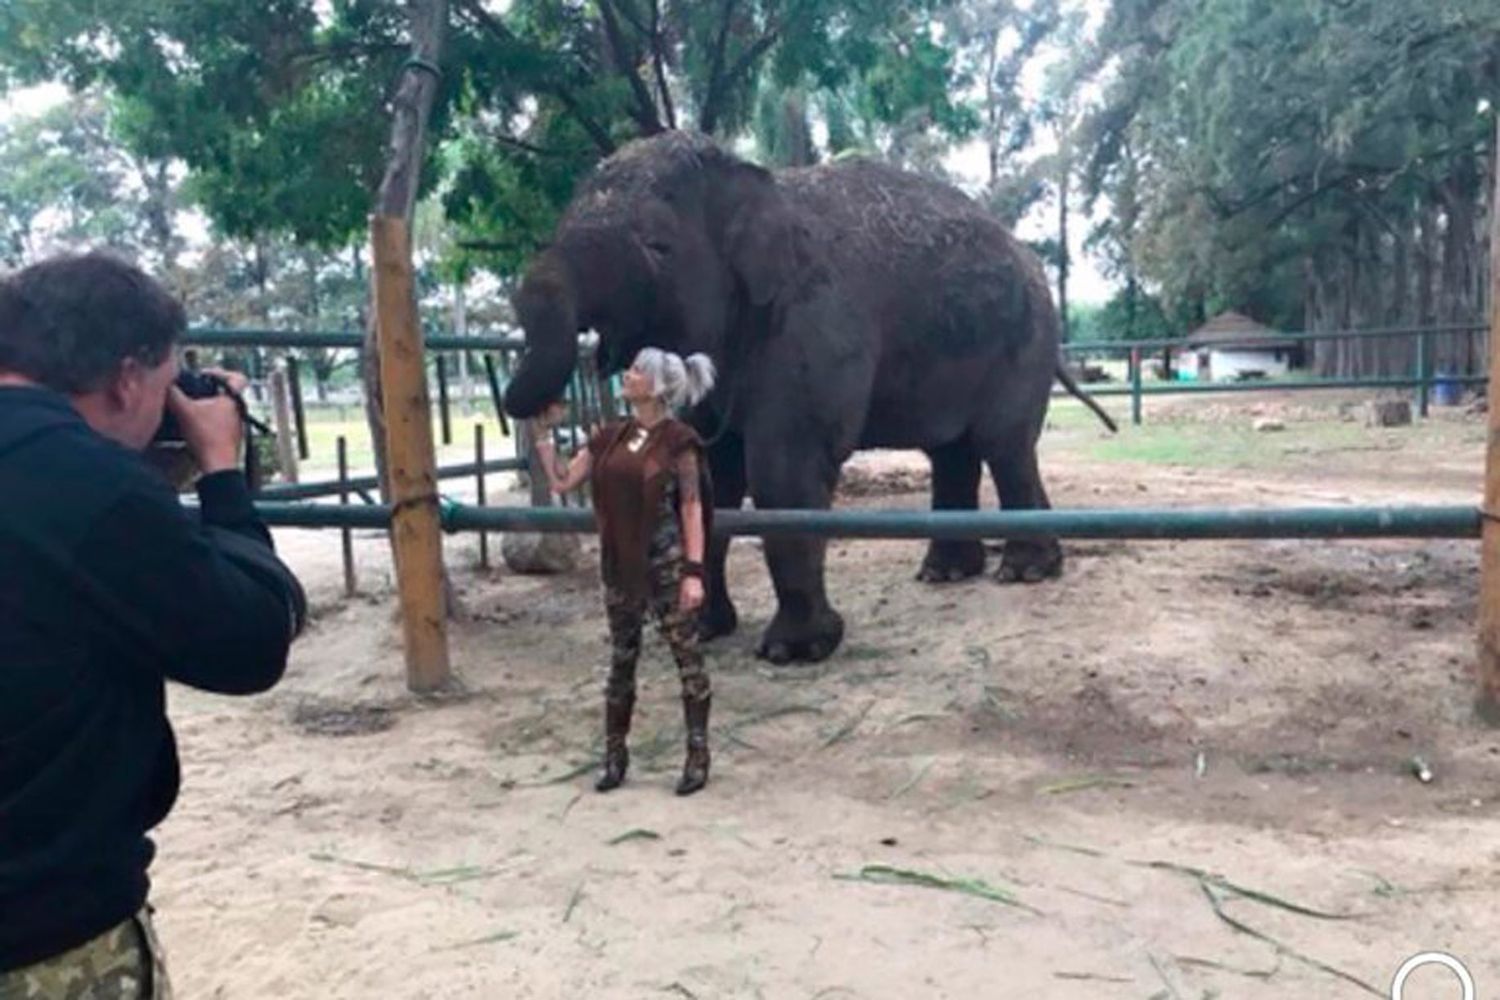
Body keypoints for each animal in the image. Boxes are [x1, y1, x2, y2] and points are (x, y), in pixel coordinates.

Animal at [504, 132, 1116, 665]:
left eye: (657, 247)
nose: (539, 411)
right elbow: (709, 470)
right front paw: (701, 628)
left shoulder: (817, 322)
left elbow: (784, 469)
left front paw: (793, 652)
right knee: (953, 450)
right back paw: (949, 573)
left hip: (1025, 341)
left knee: (1003, 444)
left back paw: (1025, 572)